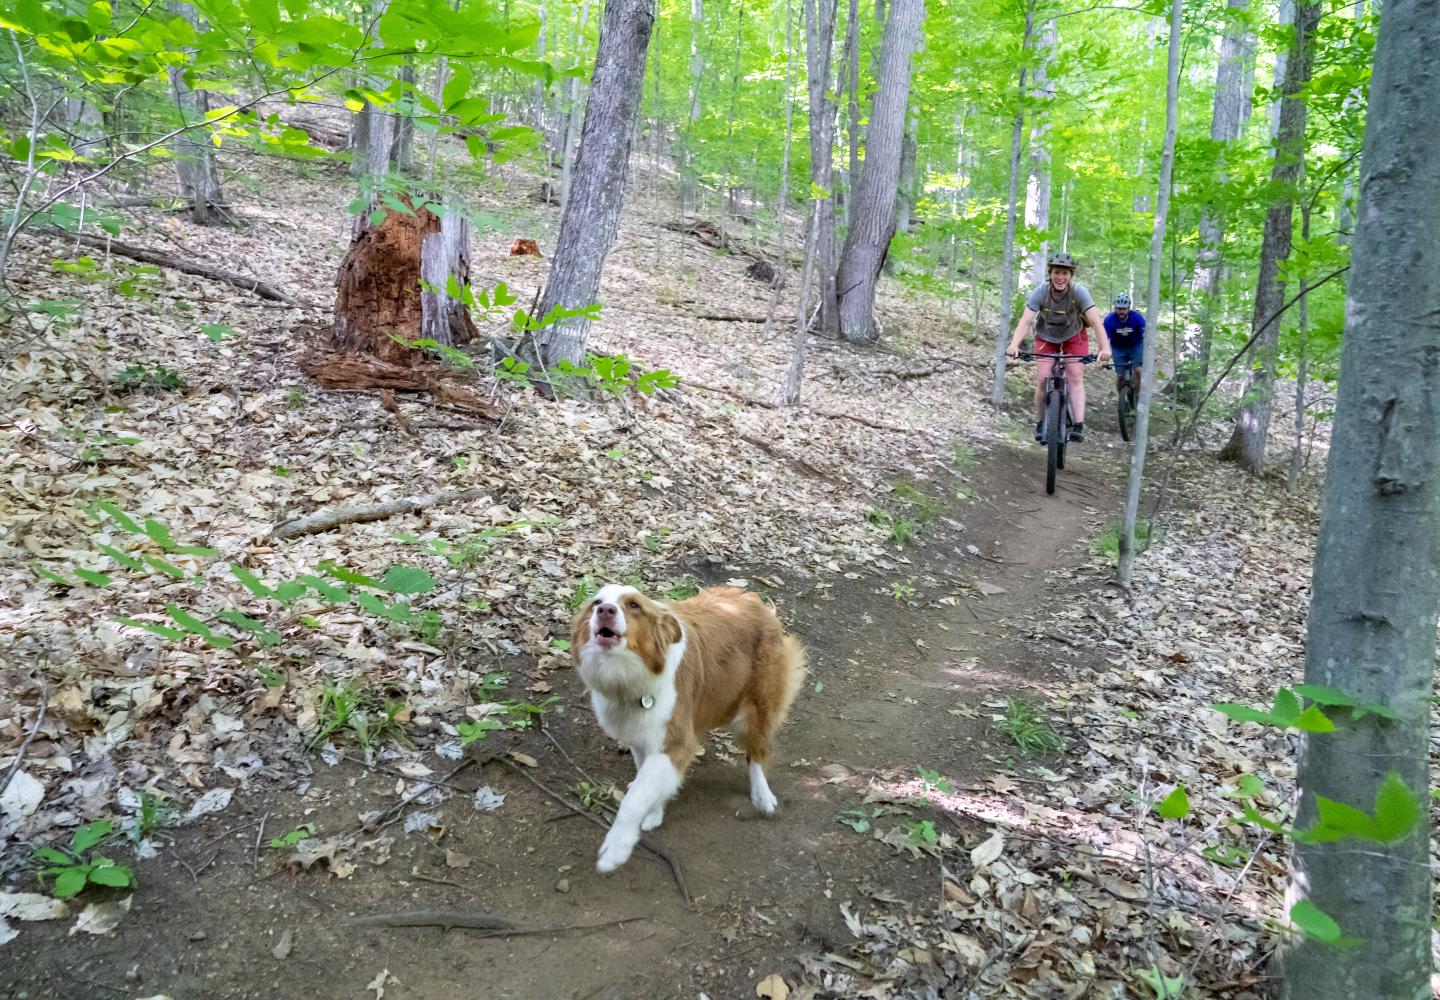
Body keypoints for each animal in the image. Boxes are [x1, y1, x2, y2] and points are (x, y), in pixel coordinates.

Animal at [567, 585, 806, 876]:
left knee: (757, 753)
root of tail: (753, 598)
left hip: (758, 707)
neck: (628, 676)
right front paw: (654, 811)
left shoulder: (675, 742)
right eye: (597, 602)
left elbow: (635, 798)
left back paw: (762, 796)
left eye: (634, 605)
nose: (605, 611)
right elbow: (645, 778)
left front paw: (615, 849)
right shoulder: (641, 733)